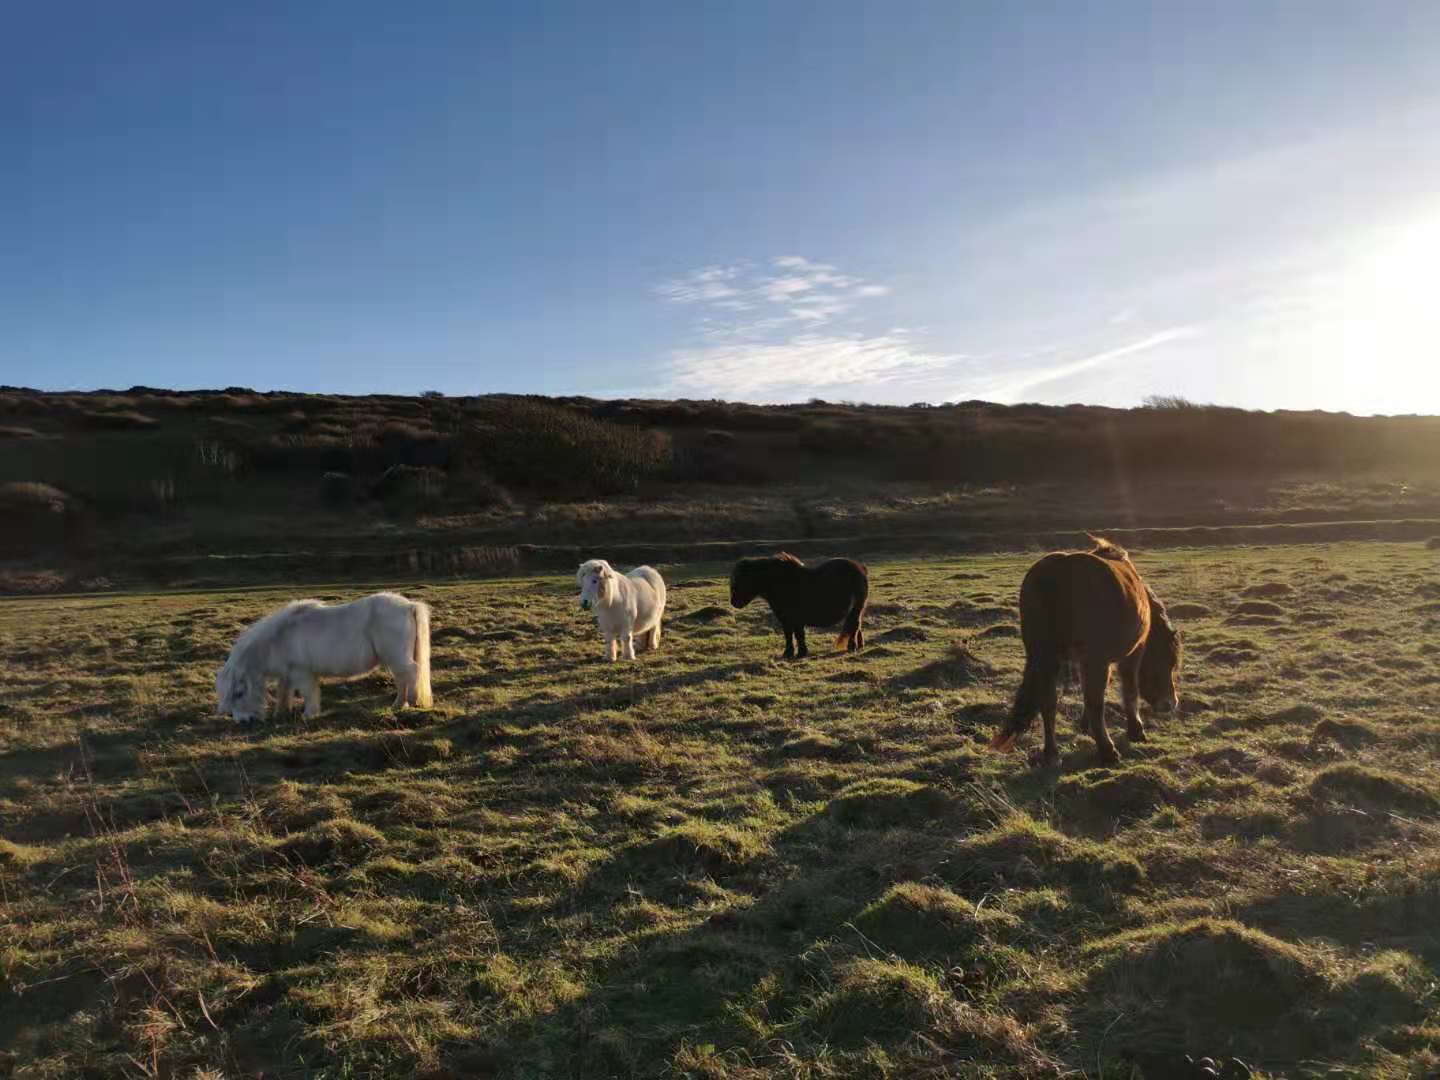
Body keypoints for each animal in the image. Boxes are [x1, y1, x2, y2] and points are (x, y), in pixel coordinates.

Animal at [211, 593, 426, 728]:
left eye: (239, 693)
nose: (243, 722)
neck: (279, 638)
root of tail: (409, 606)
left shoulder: (303, 673)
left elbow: (309, 693)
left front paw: (309, 714)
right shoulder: (287, 675)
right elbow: (284, 693)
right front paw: (281, 713)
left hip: (397, 657)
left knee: (413, 672)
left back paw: (413, 701)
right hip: (393, 659)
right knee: (402, 678)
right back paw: (398, 705)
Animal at [731, 558, 864, 659]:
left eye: (742, 579)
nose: (734, 603)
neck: (781, 583)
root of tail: (859, 568)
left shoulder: (796, 620)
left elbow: (799, 635)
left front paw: (800, 653)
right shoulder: (786, 620)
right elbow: (789, 635)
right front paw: (788, 654)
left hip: (856, 608)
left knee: (854, 625)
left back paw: (852, 647)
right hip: (856, 610)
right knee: (856, 625)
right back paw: (859, 645)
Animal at [990, 538, 1180, 766]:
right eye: (1169, 661)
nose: (1171, 704)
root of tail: (1058, 570)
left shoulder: (1085, 661)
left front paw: (1084, 725)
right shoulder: (1132, 653)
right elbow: (1129, 690)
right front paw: (1136, 731)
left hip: (1047, 658)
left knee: (1049, 702)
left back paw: (1052, 754)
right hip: (1090, 660)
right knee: (1095, 702)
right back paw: (1107, 751)